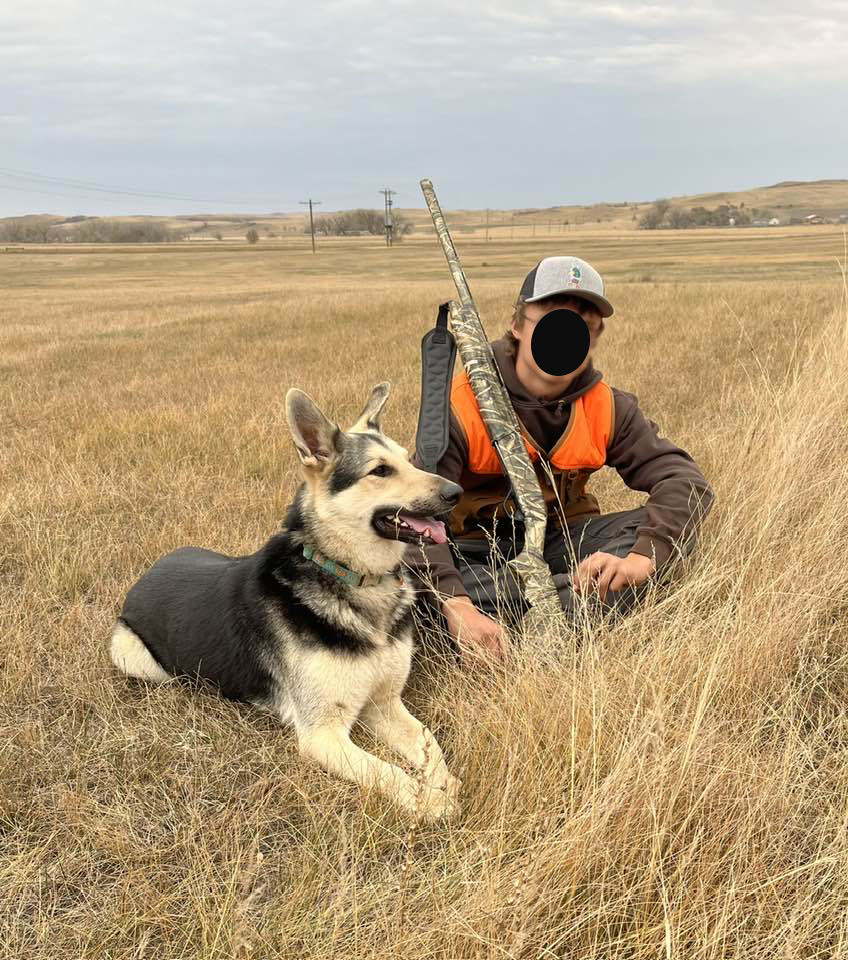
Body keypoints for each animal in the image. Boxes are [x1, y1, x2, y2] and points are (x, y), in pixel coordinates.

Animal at [109, 382, 464, 816]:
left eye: (406, 459)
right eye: (380, 471)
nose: (456, 491)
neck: (347, 573)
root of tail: (150, 571)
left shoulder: (384, 704)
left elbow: (430, 743)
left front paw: (444, 783)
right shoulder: (323, 734)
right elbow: (388, 772)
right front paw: (431, 801)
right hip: (135, 658)